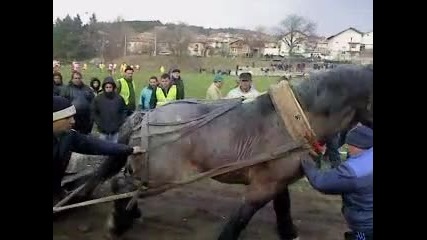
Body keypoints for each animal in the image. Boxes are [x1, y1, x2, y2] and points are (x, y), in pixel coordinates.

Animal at [82, 63, 372, 240]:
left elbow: (283, 208)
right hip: (162, 177)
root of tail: (145, 115)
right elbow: (240, 219)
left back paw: (130, 214)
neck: (292, 121)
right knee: (121, 185)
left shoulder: (277, 181)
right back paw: (118, 223)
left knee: (127, 189)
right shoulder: (263, 186)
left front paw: (289, 232)